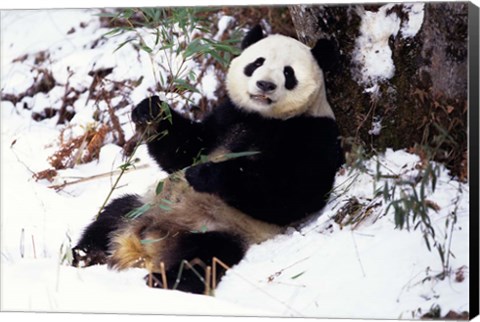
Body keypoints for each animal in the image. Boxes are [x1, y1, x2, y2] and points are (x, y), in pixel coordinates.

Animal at [71, 25, 344, 294]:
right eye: (257, 63)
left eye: (288, 73)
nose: (265, 84)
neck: (265, 118)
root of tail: (146, 243)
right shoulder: (229, 115)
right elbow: (186, 150)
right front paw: (151, 111)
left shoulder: (315, 133)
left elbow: (293, 194)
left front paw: (205, 174)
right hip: (145, 205)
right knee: (111, 216)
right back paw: (86, 254)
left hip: (220, 229)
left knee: (203, 258)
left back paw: (162, 280)